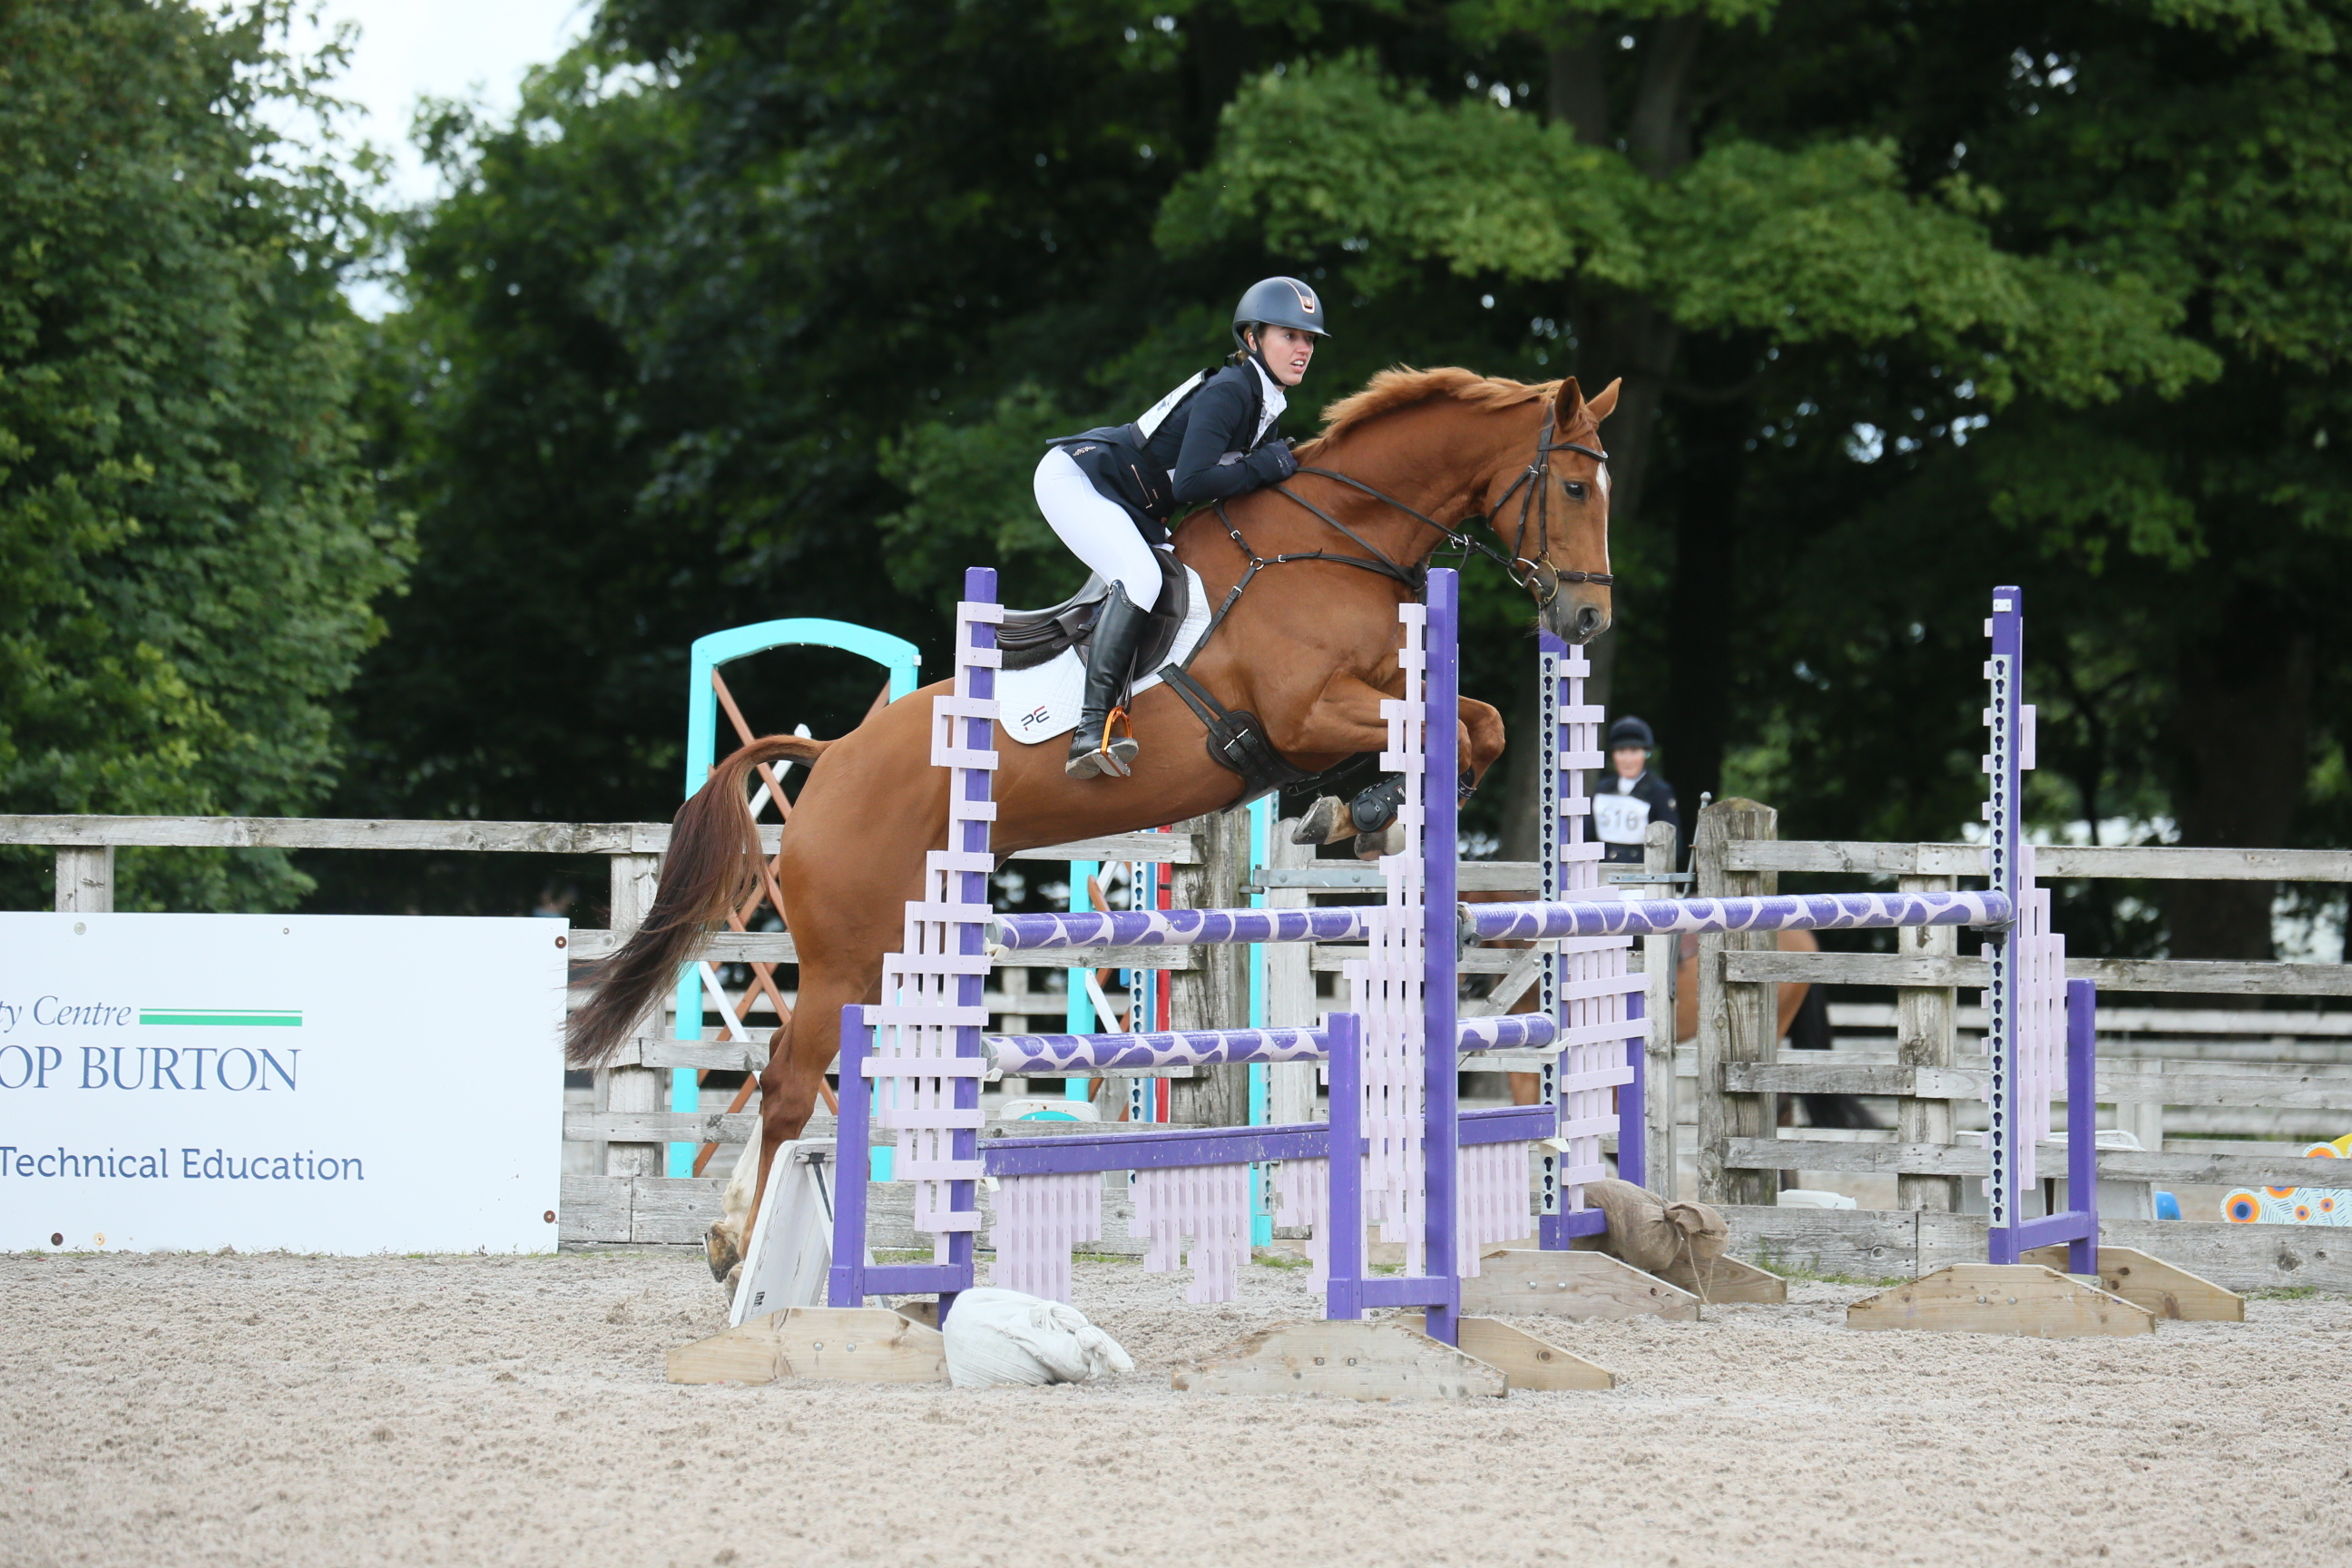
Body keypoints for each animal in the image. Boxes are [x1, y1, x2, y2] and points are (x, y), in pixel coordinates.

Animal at [567, 367, 1622, 1277]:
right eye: (1573, 485)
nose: (1585, 622)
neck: (1336, 540)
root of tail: (831, 762)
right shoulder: (1304, 713)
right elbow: (1452, 726)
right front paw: (1368, 811)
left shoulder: (1357, 704)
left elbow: (1479, 722)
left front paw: (1361, 812)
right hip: (846, 954)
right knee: (790, 1080)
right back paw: (740, 1247)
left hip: (898, 942)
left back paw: (734, 1234)